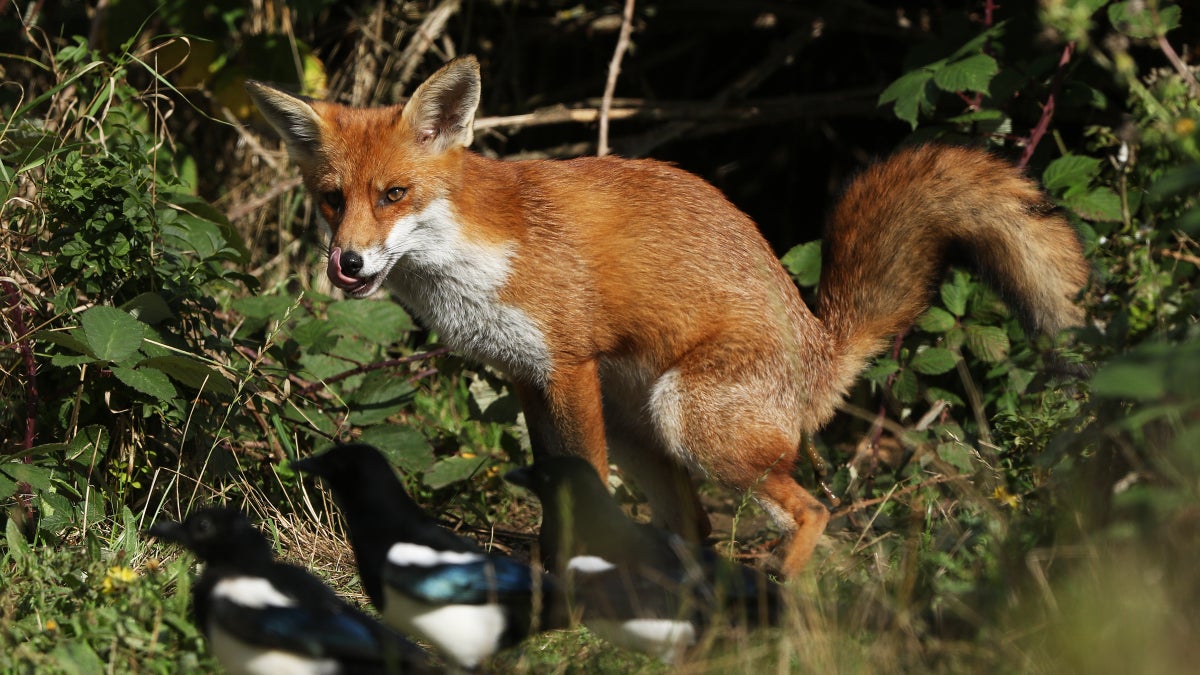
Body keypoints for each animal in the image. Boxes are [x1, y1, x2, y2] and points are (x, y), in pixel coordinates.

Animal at [248, 55, 1094, 576]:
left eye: (394, 194)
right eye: (332, 199)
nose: (347, 264)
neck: (475, 260)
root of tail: (820, 346)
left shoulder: (569, 364)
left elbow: (582, 481)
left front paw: (575, 581)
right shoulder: (526, 378)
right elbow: (554, 490)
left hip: (693, 422)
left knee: (813, 509)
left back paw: (783, 593)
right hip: (644, 430)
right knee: (701, 530)